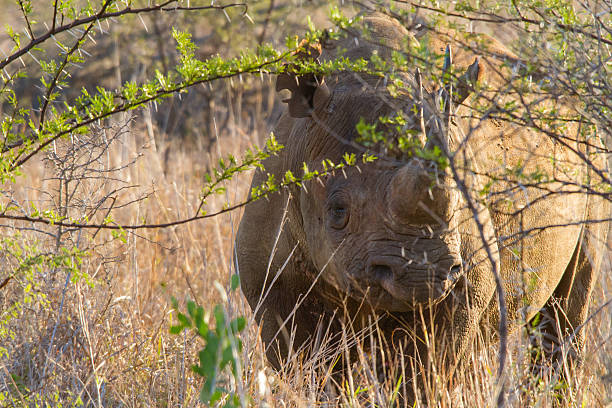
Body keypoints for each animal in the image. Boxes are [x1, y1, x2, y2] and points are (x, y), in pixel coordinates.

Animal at [233, 12, 608, 382]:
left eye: (459, 201)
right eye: (338, 210)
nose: (421, 275)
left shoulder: (465, 285)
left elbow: (426, 372)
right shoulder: (271, 283)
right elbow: (310, 370)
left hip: (591, 142)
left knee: (567, 306)